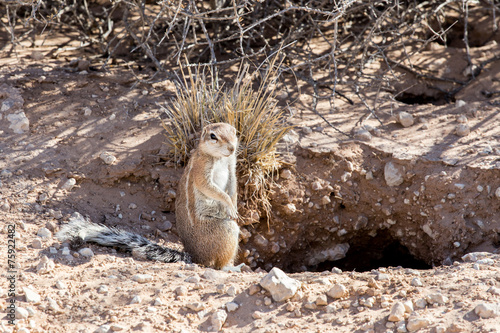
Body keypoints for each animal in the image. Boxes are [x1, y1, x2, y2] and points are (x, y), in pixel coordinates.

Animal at [55, 122, 239, 270]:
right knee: (216, 263)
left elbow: (233, 188)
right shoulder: (201, 169)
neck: (220, 158)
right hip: (226, 230)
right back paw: (231, 267)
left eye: (235, 131)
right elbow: (210, 188)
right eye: (213, 136)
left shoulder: (232, 169)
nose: (232, 148)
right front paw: (230, 206)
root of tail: (193, 256)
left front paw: (234, 206)